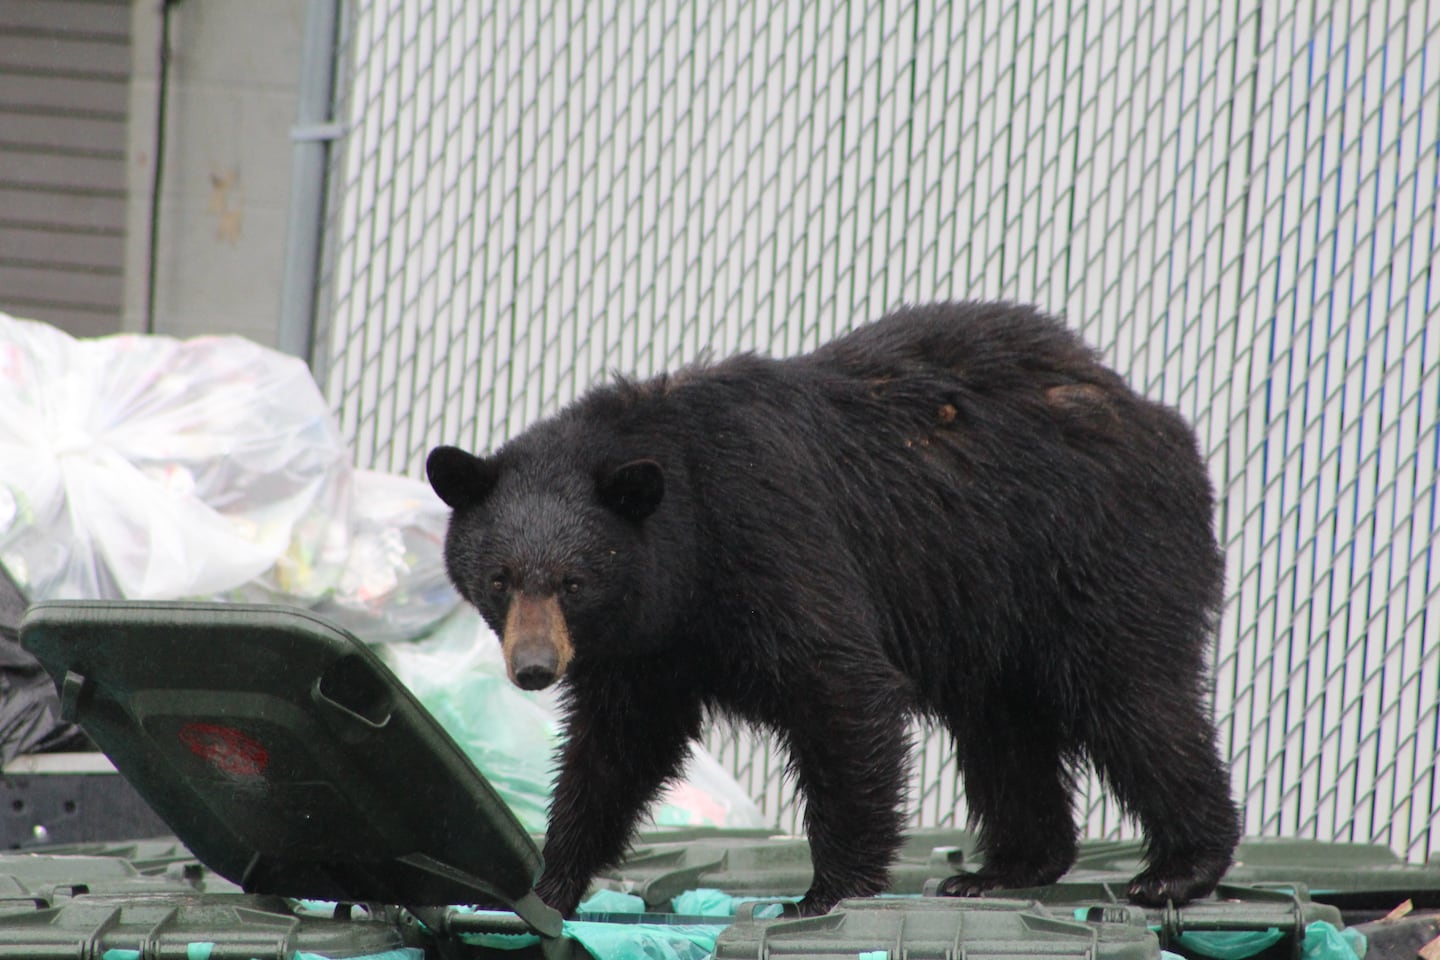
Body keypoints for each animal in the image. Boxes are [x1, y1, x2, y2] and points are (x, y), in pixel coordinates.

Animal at [426, 300, 1241, 917]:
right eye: (500, 578)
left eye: (573, 581)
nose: (534, 669)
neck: (686, 546)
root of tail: (1152, 412)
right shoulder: (647, 649)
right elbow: (613, 751)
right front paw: (548, 884)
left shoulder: (769, 534)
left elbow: (839, 685)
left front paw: (827, 893)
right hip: (989, 610)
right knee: (1004, 730)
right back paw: (1002, 869)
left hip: (1091, 550)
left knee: (1133, 699)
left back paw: (1180, 867)